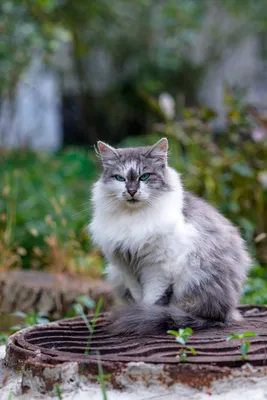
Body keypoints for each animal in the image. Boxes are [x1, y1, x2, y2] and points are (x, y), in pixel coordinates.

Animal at [89, 138, 251, 334]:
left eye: (145, 176)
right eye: (120, 178)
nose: (132, 191)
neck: (134, 218)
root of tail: (228, 313)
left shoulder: (159, 266)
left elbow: (152, 298)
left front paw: (143, 315)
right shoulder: (126, 266)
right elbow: (138, 295)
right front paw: (139, 312)